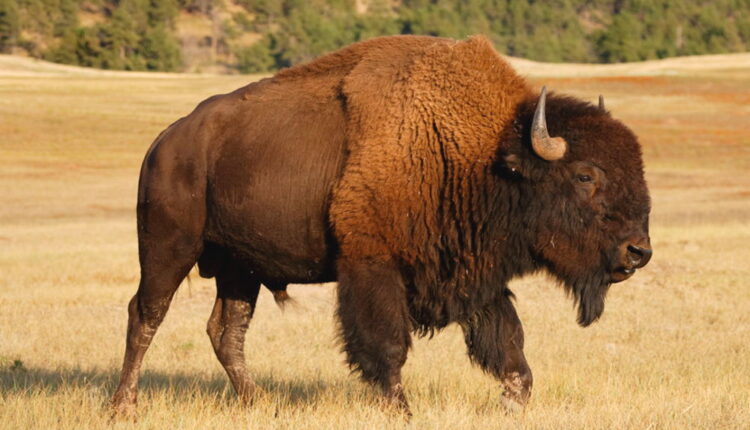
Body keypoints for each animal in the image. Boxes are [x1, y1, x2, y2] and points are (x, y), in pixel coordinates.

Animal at [112, 35, 652, 417]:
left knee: (226, 331)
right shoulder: (372, 267)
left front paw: (510, 403)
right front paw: (401, 411)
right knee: (146, 315)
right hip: (168, 248)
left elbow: (510, 348)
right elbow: (387, 347)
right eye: (586, 175)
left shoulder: (475, 277)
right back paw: (124, 407)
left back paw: (259, 403)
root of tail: (166, 141)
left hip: (239, 269)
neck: (484, 155)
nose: (638, 251)